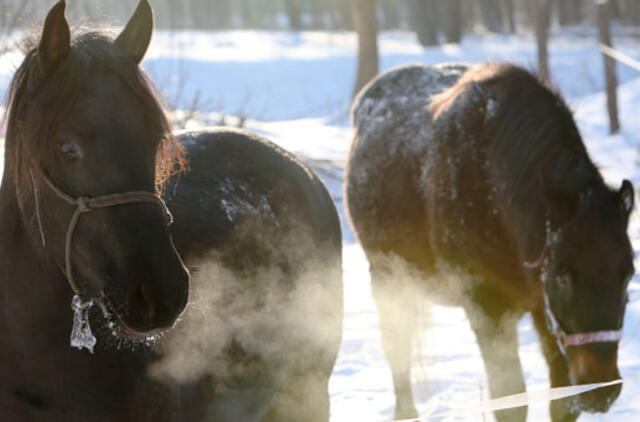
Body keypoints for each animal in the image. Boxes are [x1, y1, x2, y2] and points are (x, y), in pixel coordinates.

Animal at [348, 63, 632, 422]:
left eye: (628, 274)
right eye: (563, 275)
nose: (601, 389)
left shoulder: (544, 311)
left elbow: (562, 403)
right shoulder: (487, 307)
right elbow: (510, 399)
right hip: (388, 278)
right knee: (398, 346)